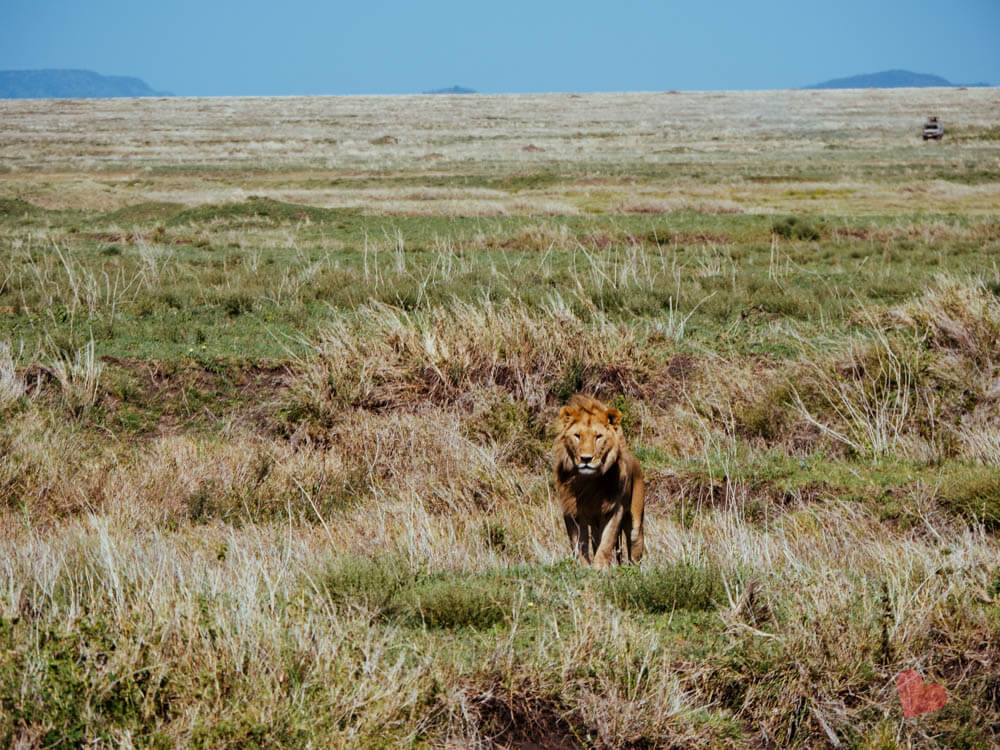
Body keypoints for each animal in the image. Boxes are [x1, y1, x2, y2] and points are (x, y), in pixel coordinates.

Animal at [552, 394, 644, 568]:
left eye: (598, 437)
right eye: (577, 436)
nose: (586, 459)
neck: (588, 482)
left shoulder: (614, 510)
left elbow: (607, 542)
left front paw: (600, 567)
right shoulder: (571, 511)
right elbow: (578, 543)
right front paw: (584, 567)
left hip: (635, 524)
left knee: (635, 548)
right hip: (594, 525)